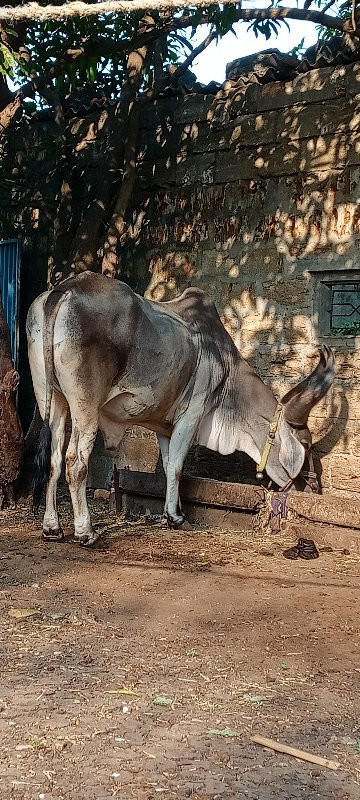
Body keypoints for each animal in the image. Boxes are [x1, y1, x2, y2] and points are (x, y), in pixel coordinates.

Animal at [27, 274, 334, 544]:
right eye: (306, 445)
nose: (313, 489)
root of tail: (65, 290)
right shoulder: (193, 413)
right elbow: (176, 467)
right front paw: (176, 517)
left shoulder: (164, 425)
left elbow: (167, 465)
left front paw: (170, 513)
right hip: (86, 407)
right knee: (75, 462)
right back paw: (86, 531)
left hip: (52, 401)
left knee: (54, 460)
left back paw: (52, 528)